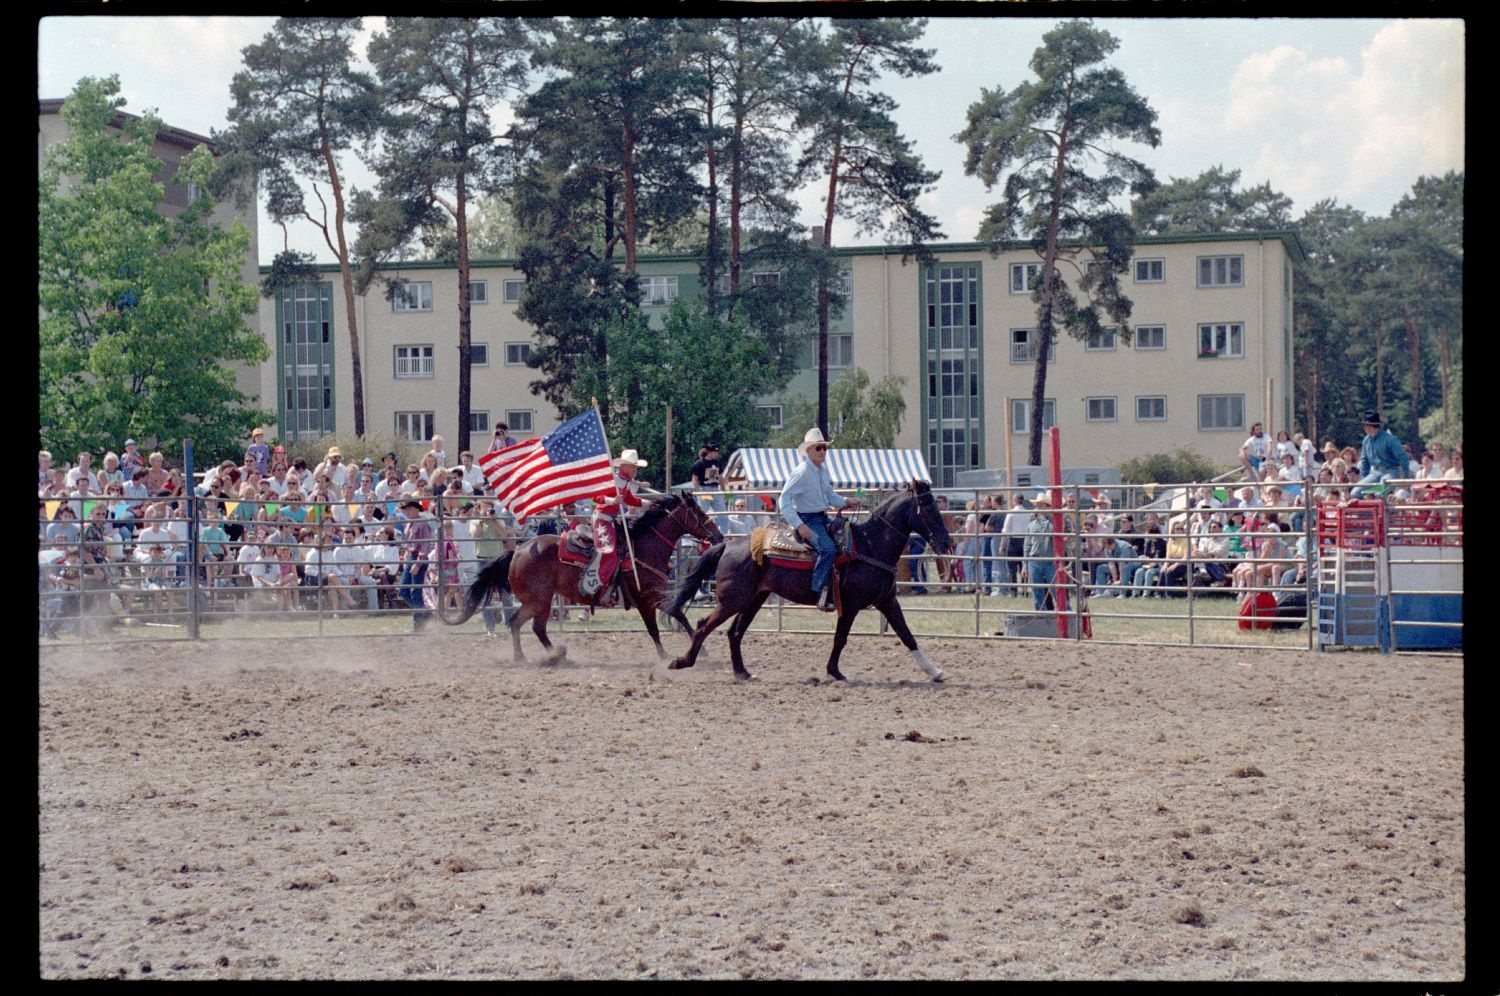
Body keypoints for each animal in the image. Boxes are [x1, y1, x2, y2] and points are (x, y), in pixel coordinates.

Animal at [447, 495, 723, 666]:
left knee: (533, 627)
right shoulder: (644, 599)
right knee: (518, 623)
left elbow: (678, 614)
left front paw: (702, 650)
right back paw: (529, 658)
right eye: (698, 512)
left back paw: (554, 656)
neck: (643, 549)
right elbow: (654, 629)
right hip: (538, 600)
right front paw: (666, 656)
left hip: (541, 601)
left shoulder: (656, 595)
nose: (719, 536)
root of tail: (518, 550)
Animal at [666, 480, 948, 681]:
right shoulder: (850, 605)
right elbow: (840, 638)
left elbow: (907, 634)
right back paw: (681, 662)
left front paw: (934, 671)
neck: (870, 545)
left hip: (753, 599)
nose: (946, 542)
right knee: (704, 626)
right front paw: (834, 672)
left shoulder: (887, 601)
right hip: (732, 600)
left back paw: (742, 673)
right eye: (929, 509)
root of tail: (727, 545)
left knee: (734, 632)